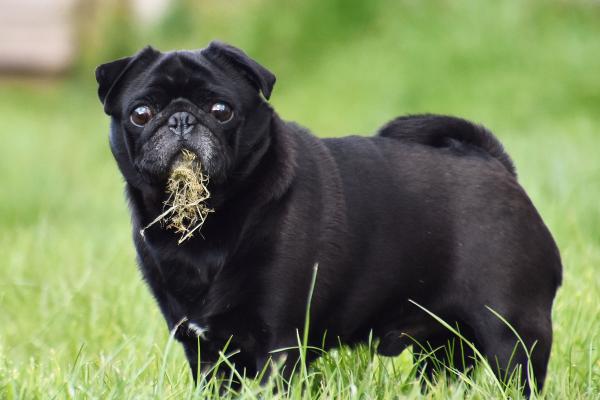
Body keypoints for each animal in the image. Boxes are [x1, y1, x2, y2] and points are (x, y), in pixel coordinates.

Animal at [96, 41, 560, 394]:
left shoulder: (277, 343)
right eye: (140, 113)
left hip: (512, 334)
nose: (180, 118)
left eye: (221, 109)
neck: (208, 226)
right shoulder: (206, 353)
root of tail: (494, 164)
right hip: (443, 346)